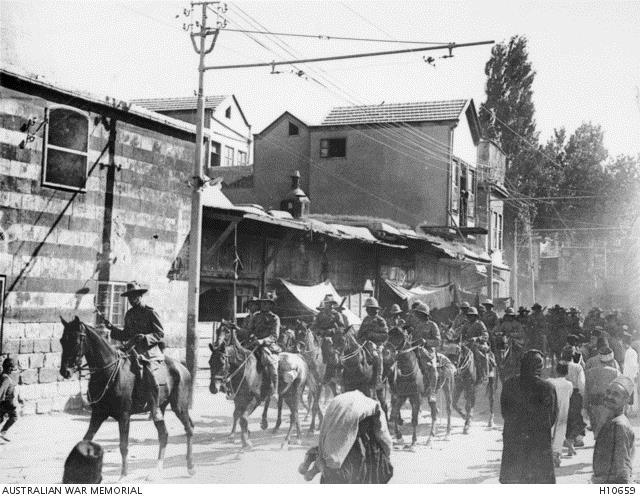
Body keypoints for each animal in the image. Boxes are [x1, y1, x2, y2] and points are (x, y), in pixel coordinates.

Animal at [60, 318, 195, 476]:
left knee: (189, 429)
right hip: (159, 408)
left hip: (179, 407)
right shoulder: (98, 414)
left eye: (76, 341)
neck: (109, 371)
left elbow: (123, 446)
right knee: (163, 435)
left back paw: (190, 466)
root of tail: (183, 367)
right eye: (62, 340)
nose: (65, 371)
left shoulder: (124, 416)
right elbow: (86, 440)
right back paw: (157, 470)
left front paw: (123, 475)